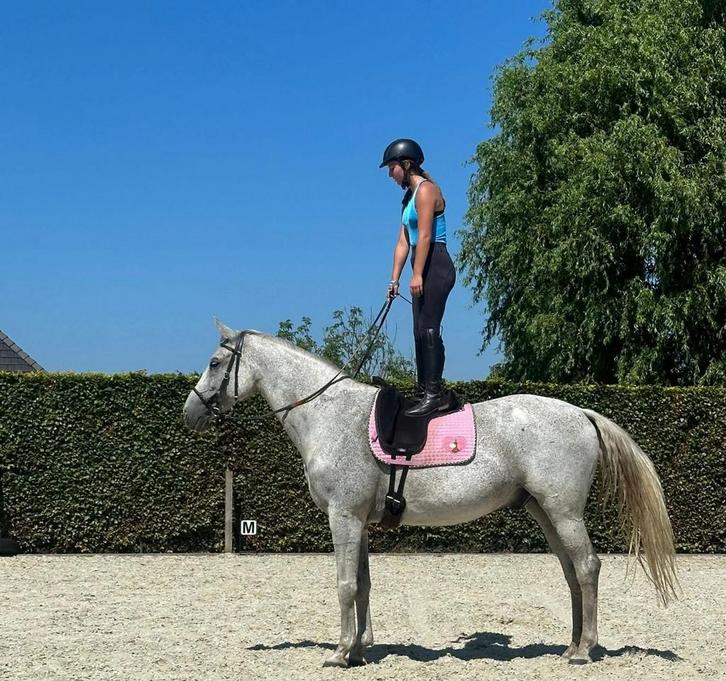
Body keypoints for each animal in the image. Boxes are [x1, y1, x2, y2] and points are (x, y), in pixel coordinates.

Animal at [183, 320, 678, 668]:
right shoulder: (360, 522)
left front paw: (340, 652)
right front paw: (361, 648)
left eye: (214, 363)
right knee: (572, 573)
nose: (189, 412)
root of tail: (580, 412)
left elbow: (345, 585)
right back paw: (572, 645)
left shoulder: (343, 517)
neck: (330, 415)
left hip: (564, 511)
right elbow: (363, 583)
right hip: (545, 513)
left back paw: (584, 650)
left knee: (588, 567)